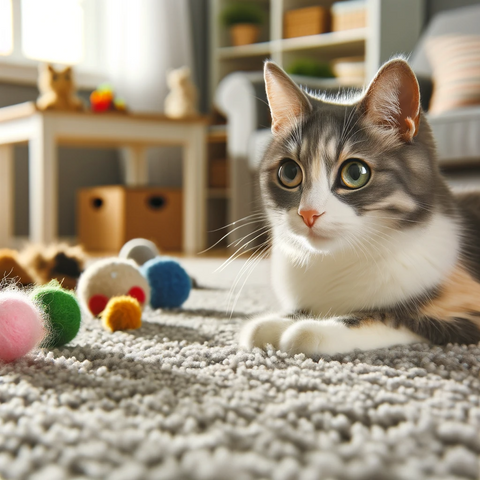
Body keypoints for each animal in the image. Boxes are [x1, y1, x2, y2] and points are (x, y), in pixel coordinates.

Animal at [240, 57, 480, 356]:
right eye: (289, 173)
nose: (308, 213)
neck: (338, 257)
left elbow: (387, 315)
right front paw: (276, 322)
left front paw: (313, 328)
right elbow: (268, 323)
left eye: (355, 173)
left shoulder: (462, 304)